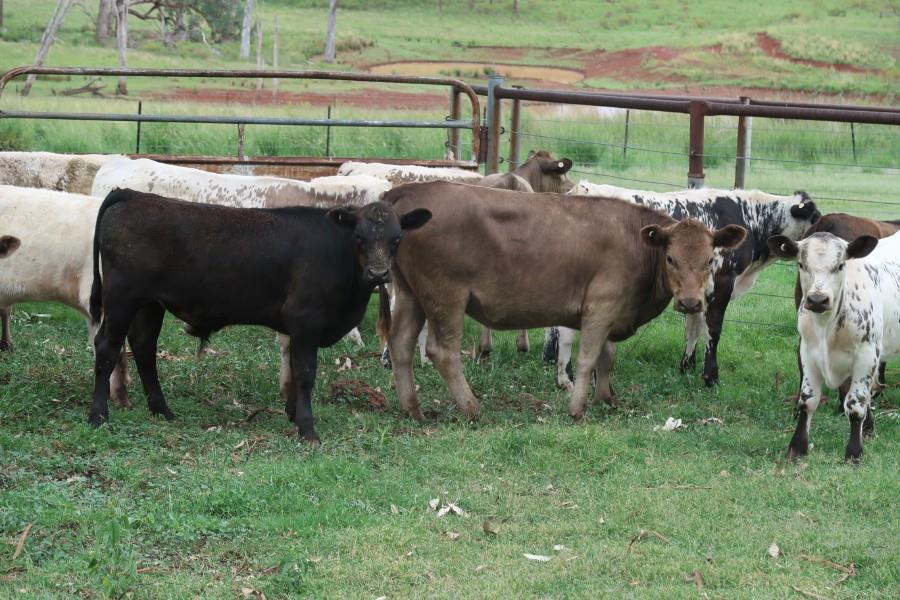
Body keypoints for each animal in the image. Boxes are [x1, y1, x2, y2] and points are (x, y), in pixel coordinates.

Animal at [89, 189, 430, 442]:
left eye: (396, 239)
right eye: (359, 237)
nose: (379, 272)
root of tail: (132, 195)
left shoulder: (298, 328)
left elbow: (292, 368)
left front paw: (293, 414)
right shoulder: (305, 320)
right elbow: (305, 373)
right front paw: (307, 428)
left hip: (150, 304)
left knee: (144, 348)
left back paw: (162, 411)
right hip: (121, 298)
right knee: (106, 347)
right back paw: (98, 416)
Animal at [382, 182, 746, 421]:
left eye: (710, 260)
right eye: (670, 258)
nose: (690, 303)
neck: (634, 242)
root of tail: (408, 191)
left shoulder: (611, 311)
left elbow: (607, 357)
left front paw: (605, 399)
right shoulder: (600, 306)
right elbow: (587, 359)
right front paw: (577, 408)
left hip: (411, 294)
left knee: (400, 345)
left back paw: (411, 408)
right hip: (445, 297)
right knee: (443, 352)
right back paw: (472, 408)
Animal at [556, 181, 820, 389]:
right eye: (816, 218)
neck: (750, 217)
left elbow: (693, 327)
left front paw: (686, 367)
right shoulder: (722, 284)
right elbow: (713, 329)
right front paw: (710, 377)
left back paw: (565, 377)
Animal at [768, 231, 900, 461]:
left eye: (840, 265)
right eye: (801, 264)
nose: (818, 299)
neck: (826, 327)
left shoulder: (867, 355)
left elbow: (855, 404)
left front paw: (854, 452)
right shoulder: (807, 352)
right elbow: (807, 400)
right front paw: (797, 447)